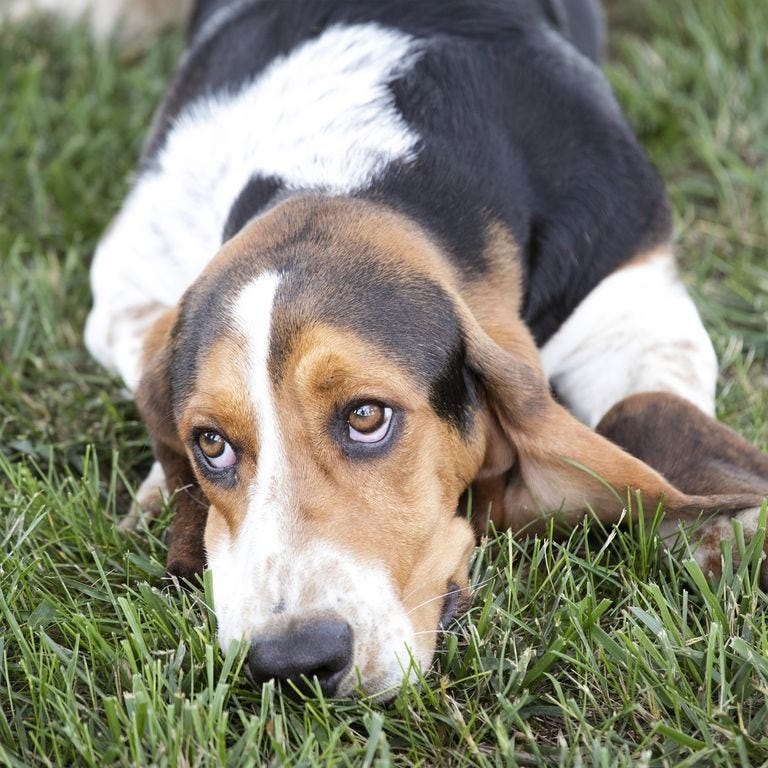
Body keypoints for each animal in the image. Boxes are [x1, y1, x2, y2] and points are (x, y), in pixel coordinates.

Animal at [28, 0, 760, 700]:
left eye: (367, 417)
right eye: (211, 444)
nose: (293, 661)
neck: (347, 166)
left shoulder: (635, 298)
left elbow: (649, 411)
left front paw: (724, 530)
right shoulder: (124, 289)